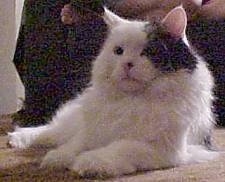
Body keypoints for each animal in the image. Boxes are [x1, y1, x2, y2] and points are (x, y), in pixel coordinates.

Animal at [8, 6, 218, 177]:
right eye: (119, 51)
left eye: (148, 52)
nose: (127, 64)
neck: (131, 101)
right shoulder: (93, 130)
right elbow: (76, 145)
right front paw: (58, 159)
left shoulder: (164, 149)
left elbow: (117, 148)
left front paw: (88, 163)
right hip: (74, 122)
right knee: (52, 131)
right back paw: (16, 138)